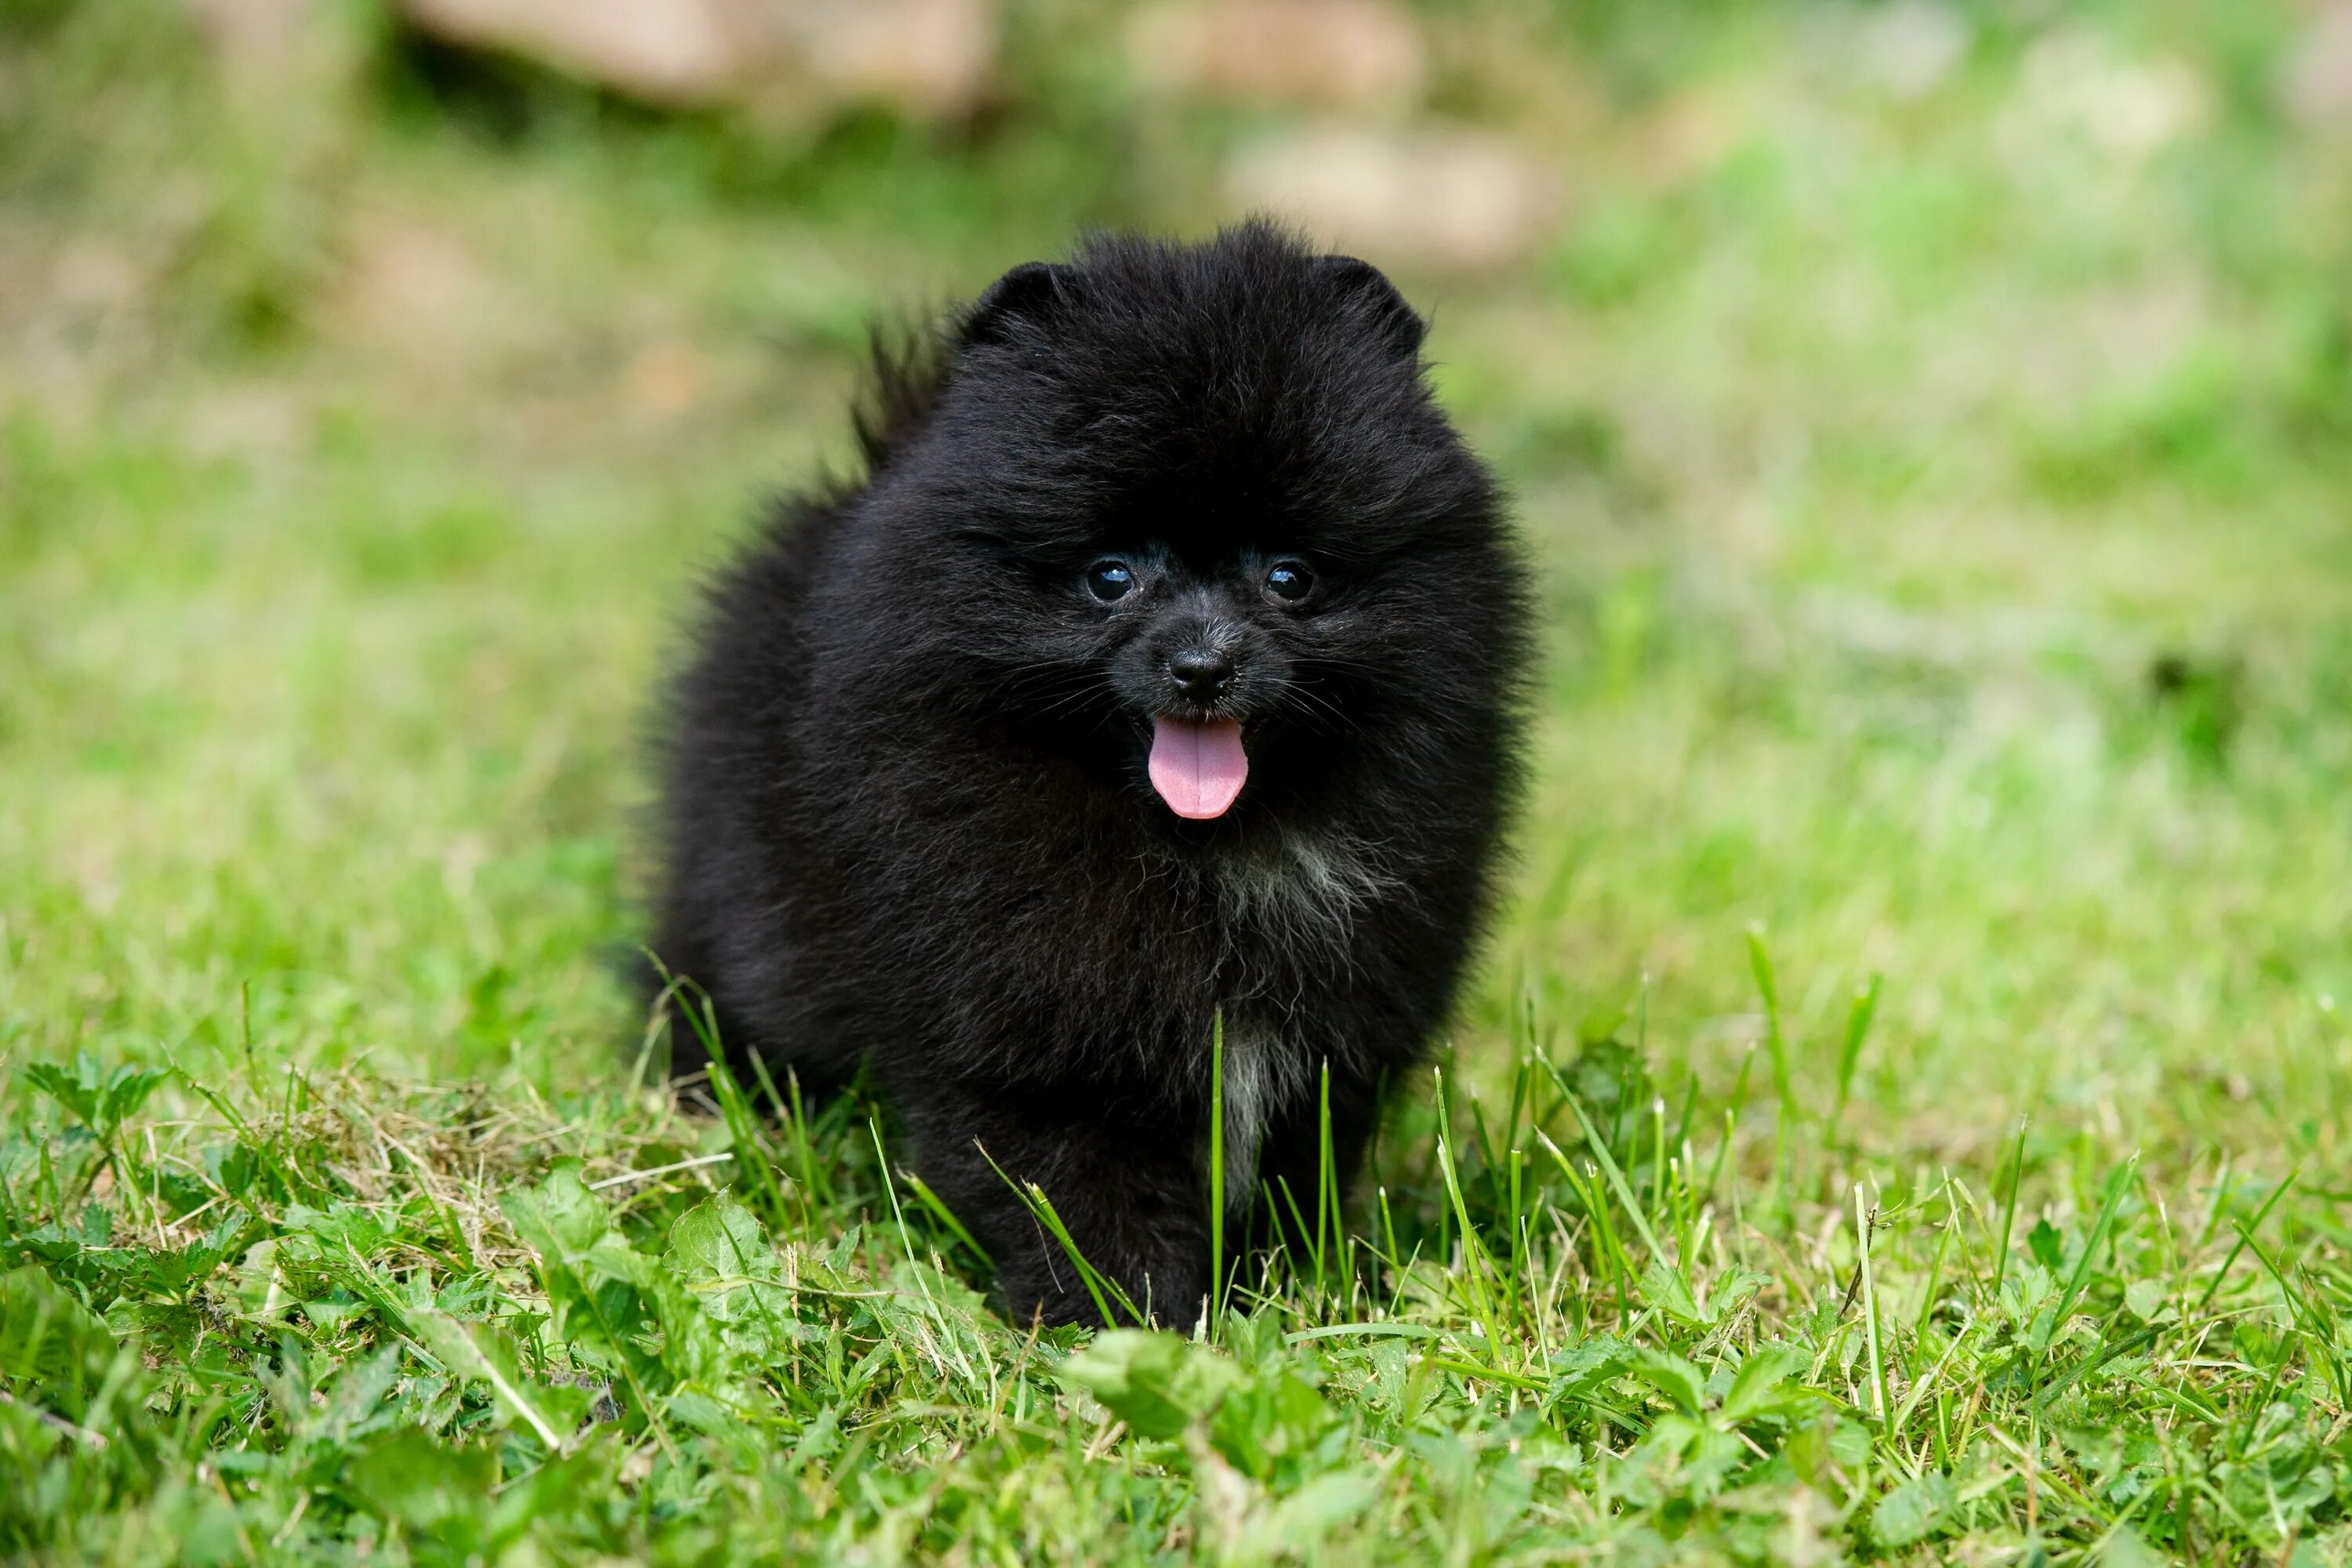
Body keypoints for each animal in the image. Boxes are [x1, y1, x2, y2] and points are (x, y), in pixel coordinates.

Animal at [649, 220, 1524, 1326]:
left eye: (1290, 577)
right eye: (1112, 576)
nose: (1203, 663)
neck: (1206, 851)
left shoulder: (1337, 1034)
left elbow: (1298, 1163)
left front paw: (1289, 1288)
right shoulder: (1031, 1035)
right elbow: (1072, 1185)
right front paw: (1127, 1318)